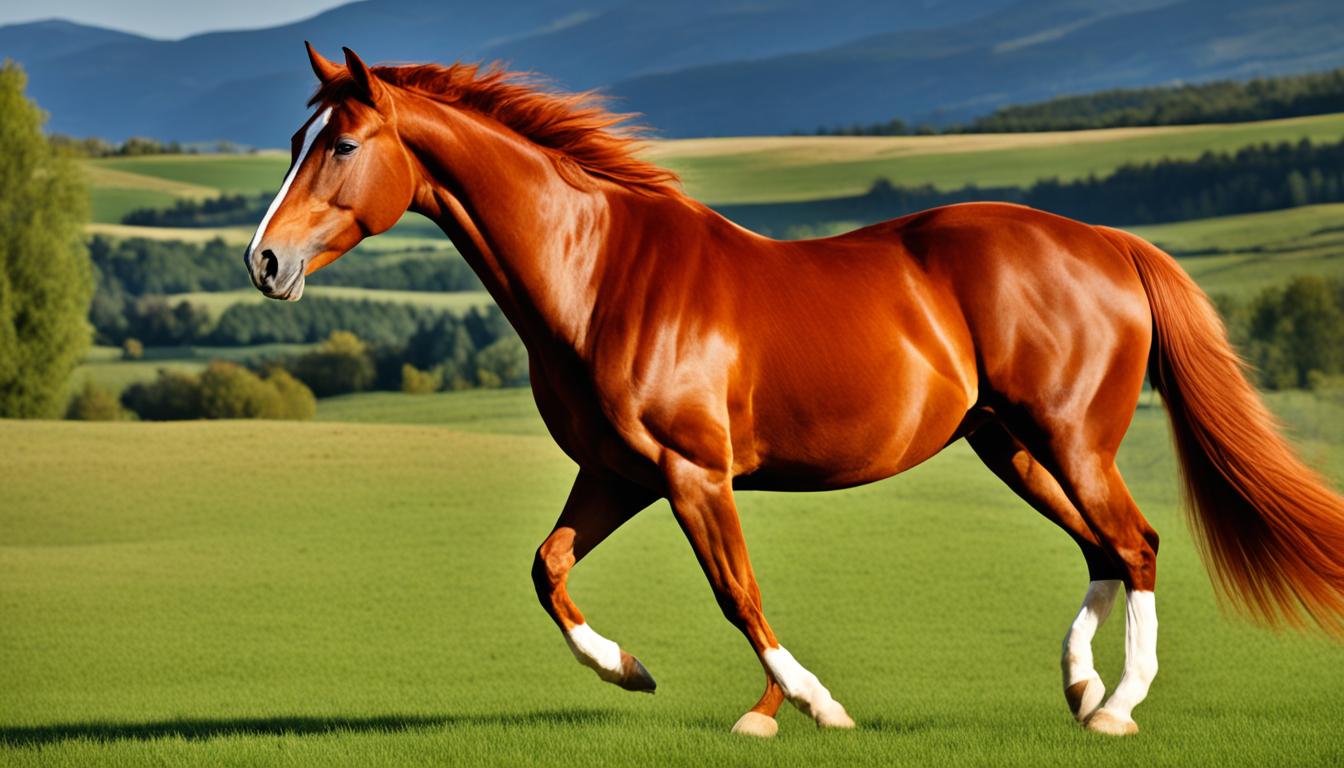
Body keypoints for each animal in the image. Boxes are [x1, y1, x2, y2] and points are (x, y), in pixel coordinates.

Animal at [244, 43, 1344, 738]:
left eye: (341, 146)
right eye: (295, 143)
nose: (264, 262)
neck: (598, 275)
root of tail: (1111, 245)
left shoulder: (692, 473)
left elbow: (739, 594)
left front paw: (804, 707)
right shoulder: (618, 474)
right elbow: (549, 569)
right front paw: (631, 671)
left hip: (1072, 439)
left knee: (1137, 542)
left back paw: (1115, 707)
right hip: (1012, 444)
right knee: (1101, 549)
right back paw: (1078, 688)